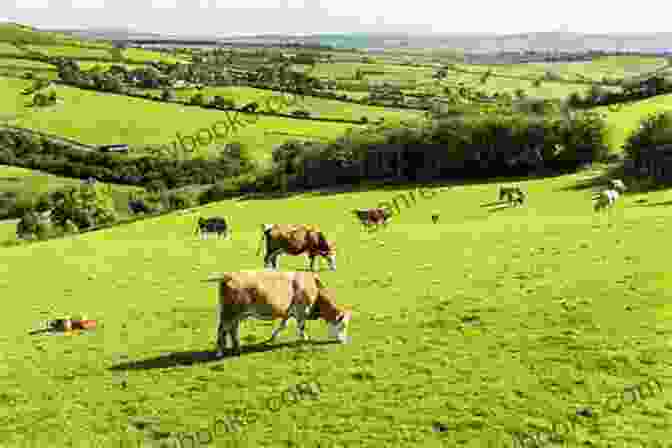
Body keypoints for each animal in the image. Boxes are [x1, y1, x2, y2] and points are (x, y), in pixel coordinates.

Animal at [203, 270, 352, 356]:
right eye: (343, 325)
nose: (343, 342)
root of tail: (228, 276)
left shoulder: (288, 311)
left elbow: (282, 325)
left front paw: (271, 338)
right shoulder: (301, 309)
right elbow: (301, 326)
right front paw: (304, 339)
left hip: (237, 313)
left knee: (232, 329)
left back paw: (237, 348)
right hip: (231, 312)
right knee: (222, 329)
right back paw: (219, 352)